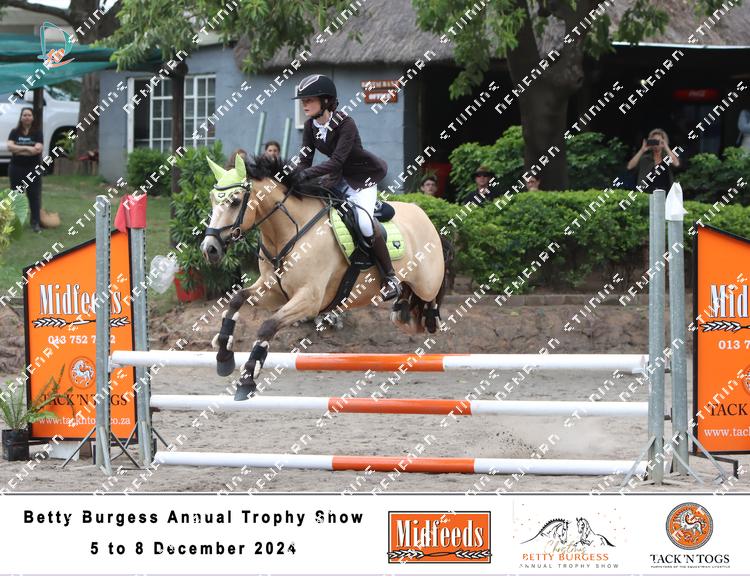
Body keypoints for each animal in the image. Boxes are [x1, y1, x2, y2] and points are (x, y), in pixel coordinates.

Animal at [200, 153, 449, 400]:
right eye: (212, 199)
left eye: (235, 201)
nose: (209, 249)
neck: (289, 233)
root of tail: (422, 212)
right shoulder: (274, 292)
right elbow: (236, 299)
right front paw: (223, 355)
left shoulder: (310, 299)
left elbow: (267, 326)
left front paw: (247, 379)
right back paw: (403, 309)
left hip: (427, 281)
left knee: (434, 292)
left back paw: (428, 317)